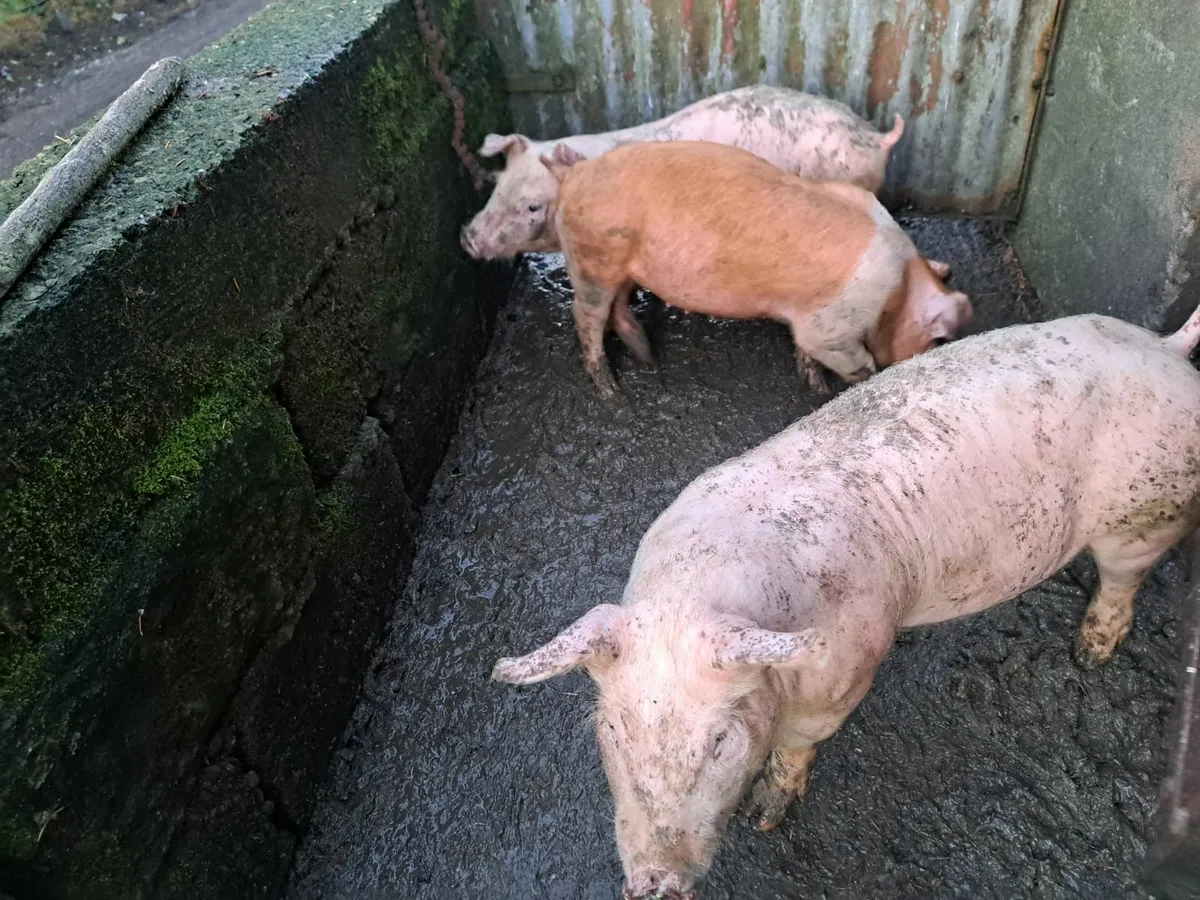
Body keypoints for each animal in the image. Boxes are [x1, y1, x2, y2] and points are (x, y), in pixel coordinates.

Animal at [492, 303, 1200, 899]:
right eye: (612, 729)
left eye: (722, 741)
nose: (657, 884)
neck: (697, 591)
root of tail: (1166, 349)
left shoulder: (849, 667)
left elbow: (801, 741)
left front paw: (767, 821)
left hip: (1145, 513)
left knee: (1124, 580)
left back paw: (1090, 655)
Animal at [540, 140, 971, 396]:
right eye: (937, 342)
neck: (897, 293)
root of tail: (574, 173)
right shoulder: (832, 324)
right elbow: (847, 358)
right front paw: (829, 391)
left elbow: (803, 348)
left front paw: (812, 381)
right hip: (591, 256)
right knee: (585, 316)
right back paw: (611, 390)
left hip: (621, 265)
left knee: (617, 306)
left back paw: (647, 355)